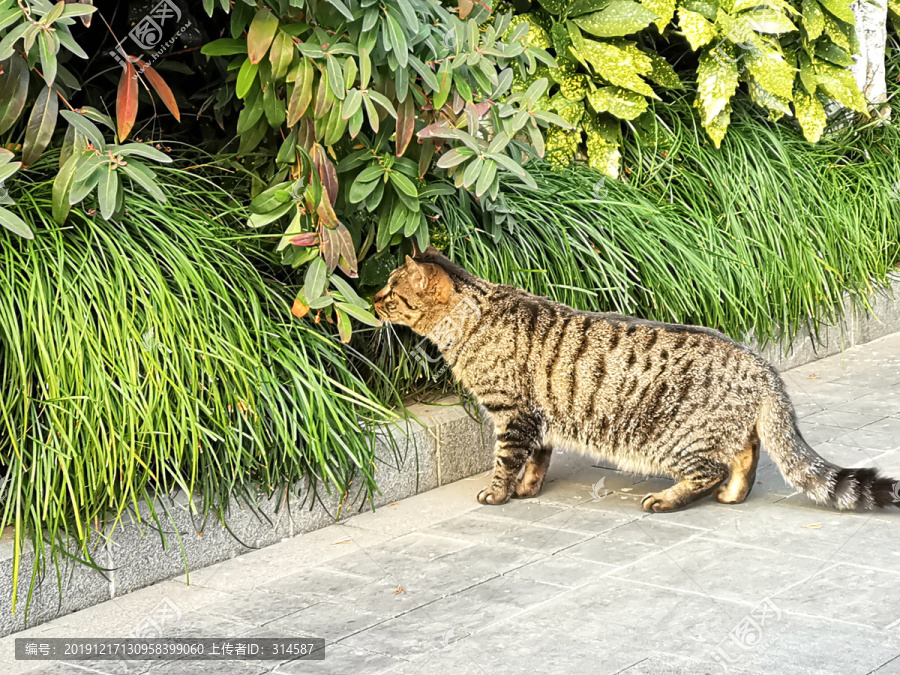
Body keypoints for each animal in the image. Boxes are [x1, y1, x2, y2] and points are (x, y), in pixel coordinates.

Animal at [374, 248, 900, 512]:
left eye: (389, 291)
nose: (372, 300)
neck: (473, 318)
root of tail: (762, 365)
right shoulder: (539, 417)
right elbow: (537, 460)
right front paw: (527, 489)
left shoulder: (513, 413)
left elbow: (506, 460)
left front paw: (500, 492)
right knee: (746, 453)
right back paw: (733, 494)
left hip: (675, 438)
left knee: (710, 468)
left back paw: (667, 499)